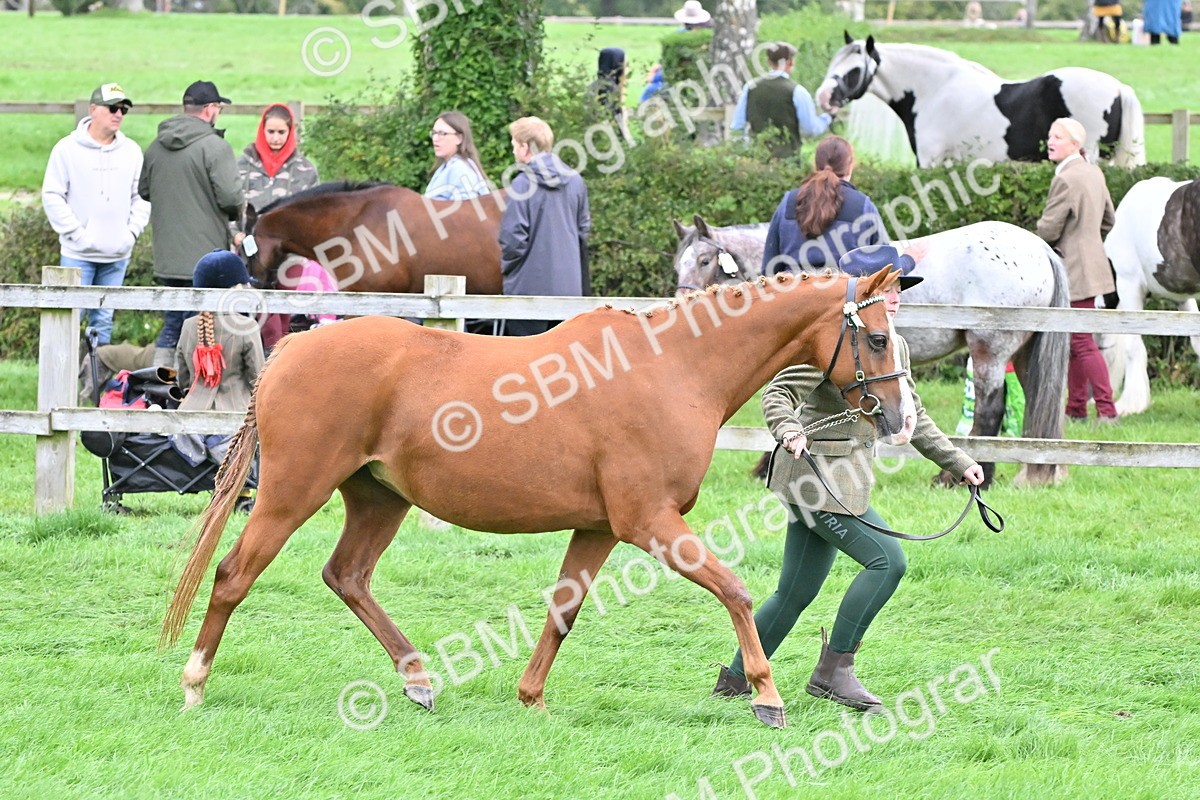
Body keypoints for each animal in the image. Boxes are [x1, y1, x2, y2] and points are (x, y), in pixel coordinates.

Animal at [159, 269, 920, 731]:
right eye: (880, 337)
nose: (899, 419)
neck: (673, 368)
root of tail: (291, 351)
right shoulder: (649, 521)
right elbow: (734, 589)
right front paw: (766, 694)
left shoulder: (600, 528)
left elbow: (563, 611)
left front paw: (531, 699)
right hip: (292, 494)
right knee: (233, 576)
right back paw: (193, 683)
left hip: (378, 500)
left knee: (347, 576)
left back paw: (418, 679)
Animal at [671, 216, 1070, 487]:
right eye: (680, 261)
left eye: (705, 261)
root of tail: (1041, 249)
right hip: (1023, 355)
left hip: (989, 350)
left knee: (989, 409)